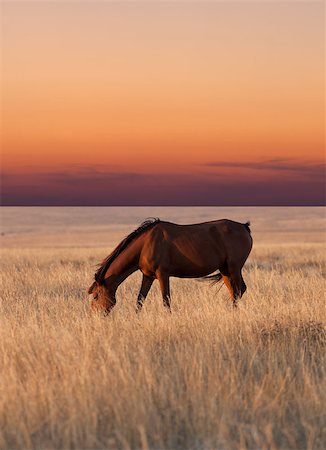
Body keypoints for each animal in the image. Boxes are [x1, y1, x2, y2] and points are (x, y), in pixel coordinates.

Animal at [88, 217, 253, 314]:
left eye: (96, 296)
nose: (96, 316)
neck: (145, 244)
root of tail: (244, 227)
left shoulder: (163, 275)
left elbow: (166, 300)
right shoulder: (148, 276)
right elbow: (140, 300)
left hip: (234, 268)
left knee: (239, 290)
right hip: (225, 270)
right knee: (234, 292)